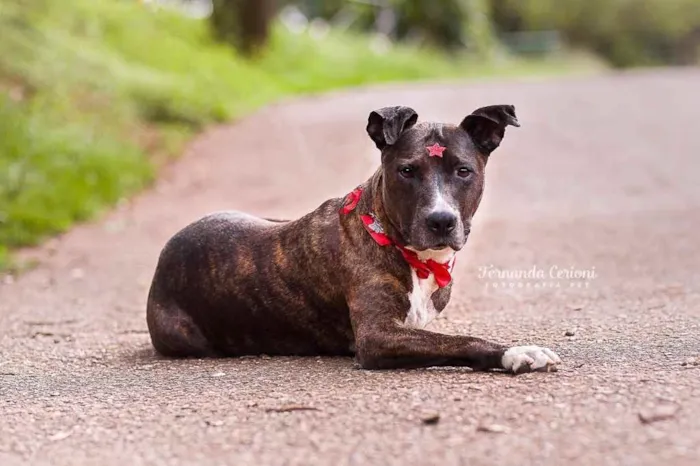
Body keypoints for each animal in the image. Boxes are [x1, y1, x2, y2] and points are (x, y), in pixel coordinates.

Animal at [148, 104, 564, 374]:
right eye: (407, 171)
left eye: (463, 171)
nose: (441, 220)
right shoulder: (377, 337)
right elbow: (460, 340)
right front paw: (517, 351)